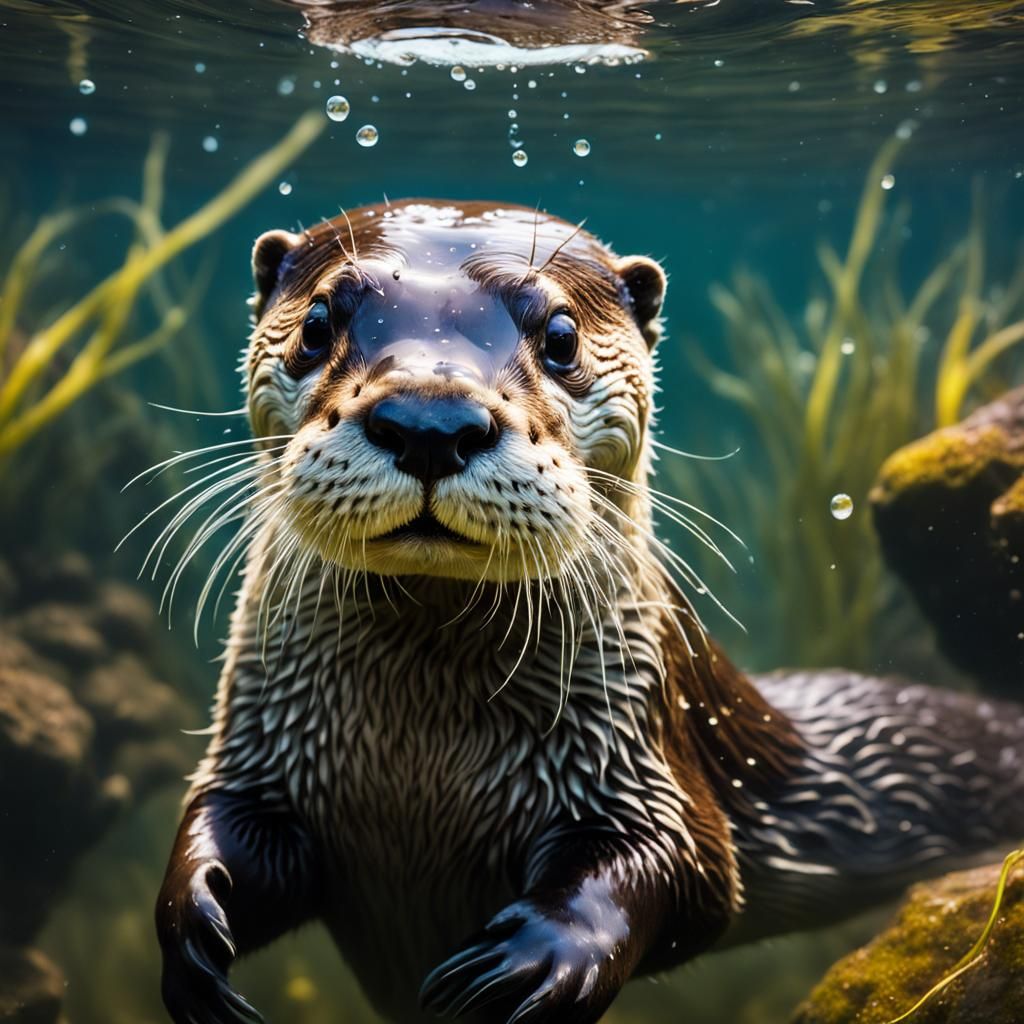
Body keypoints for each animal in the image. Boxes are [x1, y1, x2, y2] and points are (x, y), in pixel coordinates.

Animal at [155, 200, 1024, 1024]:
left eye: (562, 336)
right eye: (316, 324)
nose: (430, 421)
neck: (417, 754)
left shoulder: (640, 756)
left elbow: (677, 866)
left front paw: (533, 959)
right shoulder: (261, 751)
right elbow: (222, 821)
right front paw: (194, 917)